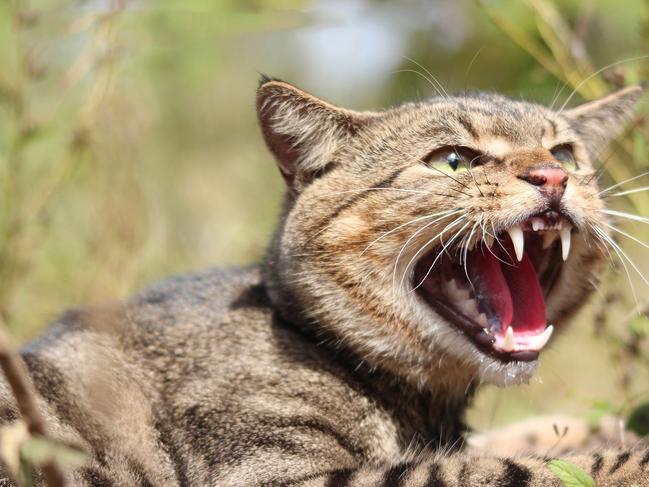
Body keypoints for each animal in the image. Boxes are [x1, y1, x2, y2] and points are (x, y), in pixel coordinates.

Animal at [1, 78, 648, 486]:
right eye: (453, 160)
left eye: (566, 152)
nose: (552, 176)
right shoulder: (276, 473)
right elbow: (505, 469)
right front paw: (629, 460)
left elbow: (521, 443)